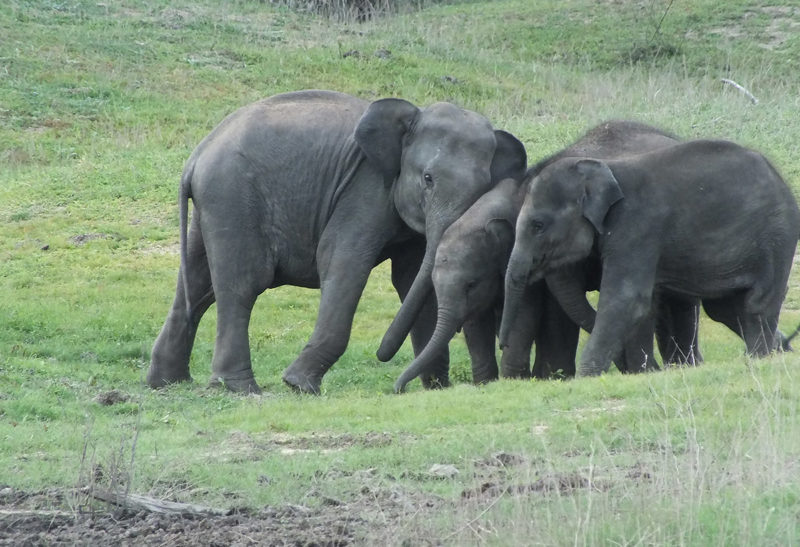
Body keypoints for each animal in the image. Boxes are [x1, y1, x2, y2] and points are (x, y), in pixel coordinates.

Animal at [147, 92, 528, 396]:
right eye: (428, 178)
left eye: (482, 189)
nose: (383, 355)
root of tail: (198, 155)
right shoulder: (366, 188)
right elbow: (343, 261)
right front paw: (298, 386)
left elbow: (412, 279)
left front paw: (436, 388)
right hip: (231, 196)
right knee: (241, 285)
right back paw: (240, 389)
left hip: (214, 203)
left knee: (197, 286)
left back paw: (167, 383)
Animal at [392, 120, 700, 394]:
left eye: (471, 283)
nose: (398, 389)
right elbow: (479, 320)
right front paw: (493, 382)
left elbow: (530, 313)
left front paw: (519, 379)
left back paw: (683, 365)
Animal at [504, 138, 800, 376]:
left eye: (538, 225)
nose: (501, 342)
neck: (606, 169)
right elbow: (642, 307)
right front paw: (643, 371)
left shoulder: (637, 226)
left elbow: (627, 299)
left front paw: (587, 376)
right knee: (725, 308)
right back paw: (767, 353)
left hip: (777, 235)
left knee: (757, 301)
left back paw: (759, 357)